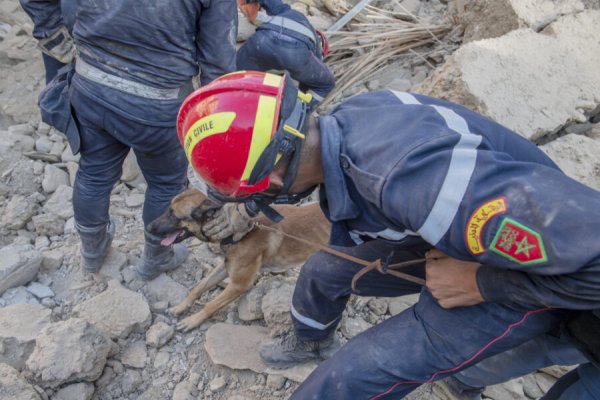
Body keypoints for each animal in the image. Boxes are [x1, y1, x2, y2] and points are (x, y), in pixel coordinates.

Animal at [147, 188, 330, 332]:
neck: (236, 233)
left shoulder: (238, 285)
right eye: (168, 209)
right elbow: (198, 287)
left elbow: (211, 304)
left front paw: (192, 320)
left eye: (174, 215)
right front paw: (181, 307)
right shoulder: (225, 267)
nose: (148, 228)